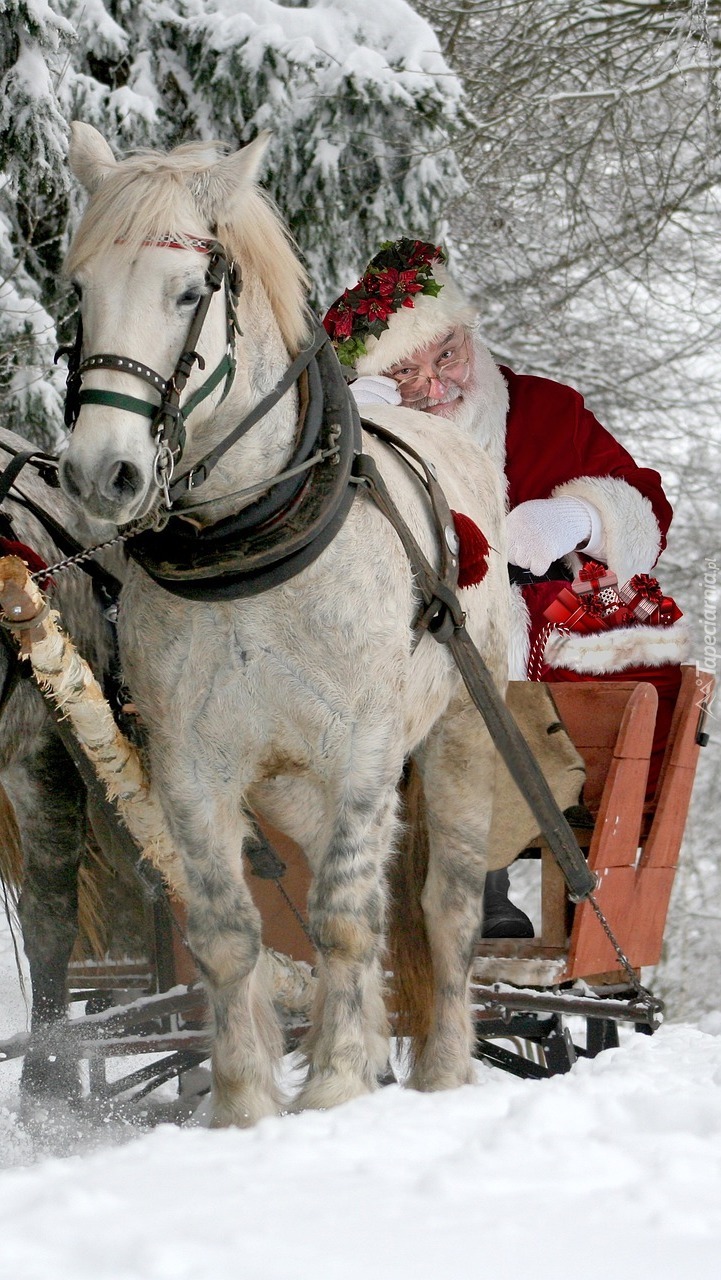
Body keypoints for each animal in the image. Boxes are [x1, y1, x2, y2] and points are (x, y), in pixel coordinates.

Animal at [59, 124, 509, 1126]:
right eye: (80, 292)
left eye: (189, 293)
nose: (101, 473)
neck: (250, 544)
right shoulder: (191, 766)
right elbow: (230, 933)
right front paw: (244, 1104)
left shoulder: (366, 749)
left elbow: (344, 918)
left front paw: (336, 1085)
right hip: (294, 787)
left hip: (461, 738)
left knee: (444, 906)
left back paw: (442, 1070)